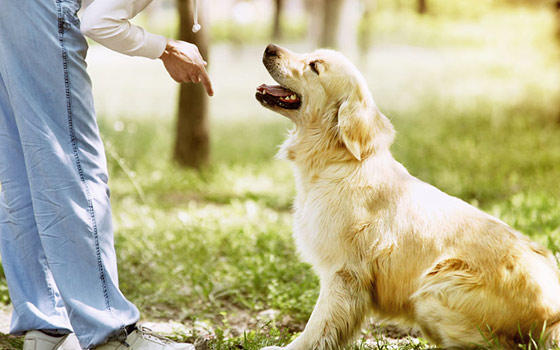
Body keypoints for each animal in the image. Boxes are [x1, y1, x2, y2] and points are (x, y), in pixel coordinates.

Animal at [256, 45, 560, 348]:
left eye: (315, 66)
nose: (270, 48)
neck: (339, 161)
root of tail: (553, 315)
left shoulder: (343, 273)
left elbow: (318, 326)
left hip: (434, 290)